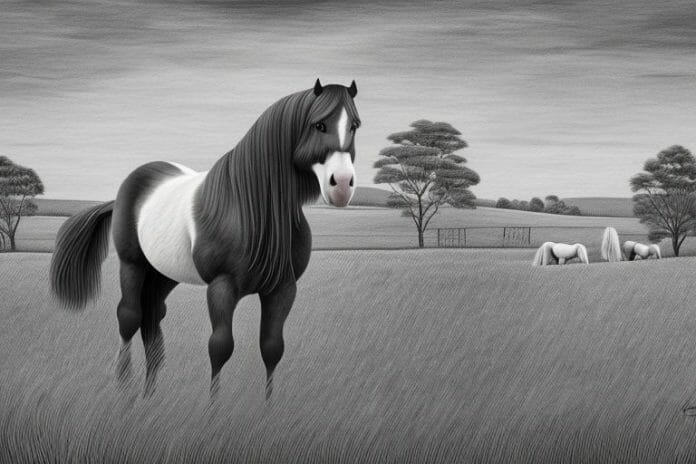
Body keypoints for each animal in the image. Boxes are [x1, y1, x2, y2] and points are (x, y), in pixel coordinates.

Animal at [49, 79, 360, 400]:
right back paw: (124, 387)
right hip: (132, 264)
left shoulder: (283, 288)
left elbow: (272, 349)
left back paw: (149, 395)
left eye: (354, 125)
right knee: (129, 316)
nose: (342, 186)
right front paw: (213, 409)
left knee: (152, 316)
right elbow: (220, 348)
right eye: (319, 125)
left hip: (163, 274)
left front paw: (267, 407)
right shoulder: (222, 286)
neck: (252, 210)